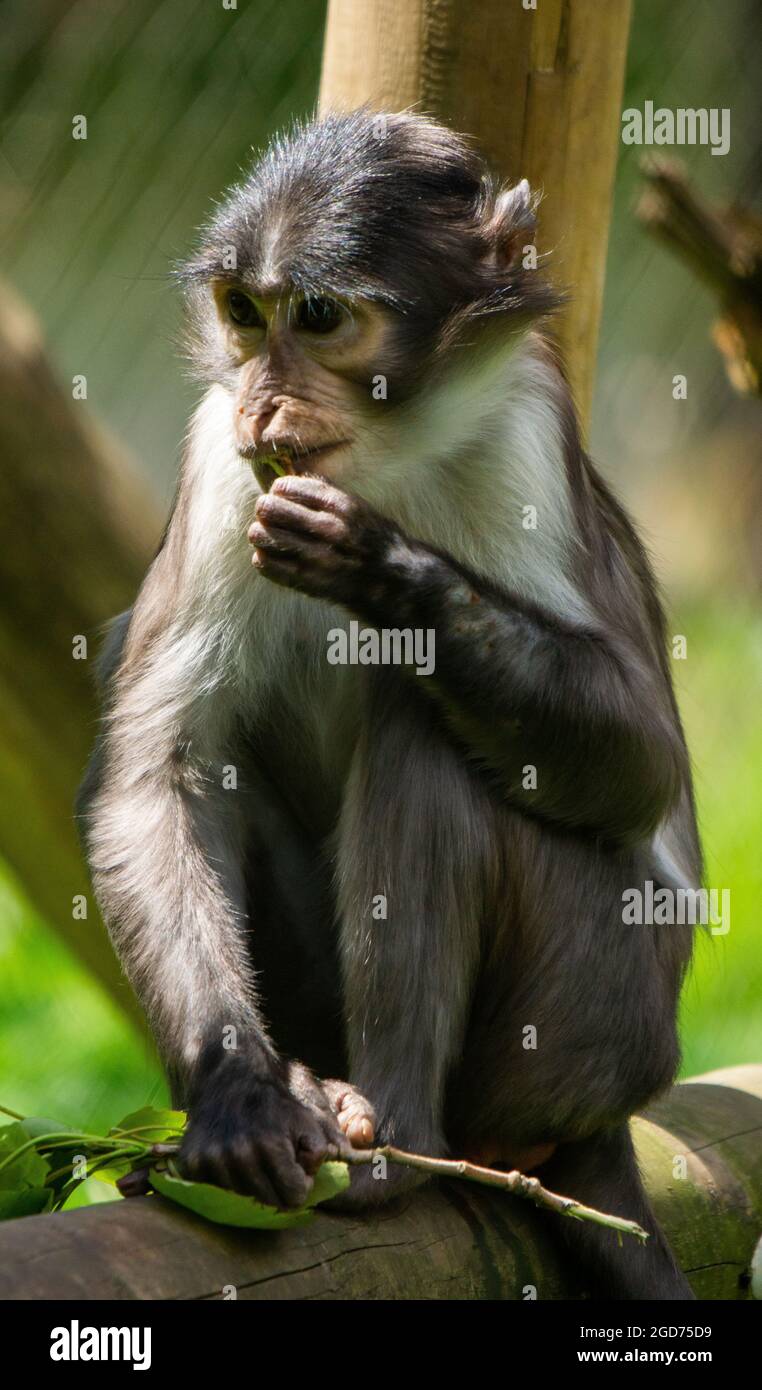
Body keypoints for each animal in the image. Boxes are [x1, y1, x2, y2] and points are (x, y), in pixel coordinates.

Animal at [78, 111, 703, 1301]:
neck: (389, 454)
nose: (263, 400)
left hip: (602, 1014)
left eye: (320, 317)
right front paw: (240, 1095)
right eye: (245, 311)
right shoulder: (220, 452)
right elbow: (162, 772)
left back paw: (400, 1137)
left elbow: (644, 768)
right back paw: (317, 1096)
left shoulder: (526, 424)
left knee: (427, 729)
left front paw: (390, 573)